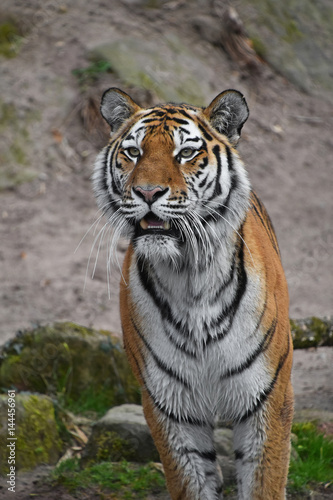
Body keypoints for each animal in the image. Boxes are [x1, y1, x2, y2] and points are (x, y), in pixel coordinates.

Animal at [93, 88, 294, 498]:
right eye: (133, 152)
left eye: (185, 153)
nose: (147, 192)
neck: (190, 277)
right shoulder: (170, 406)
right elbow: (190, 481)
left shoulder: (268, 398)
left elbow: (264, 481)